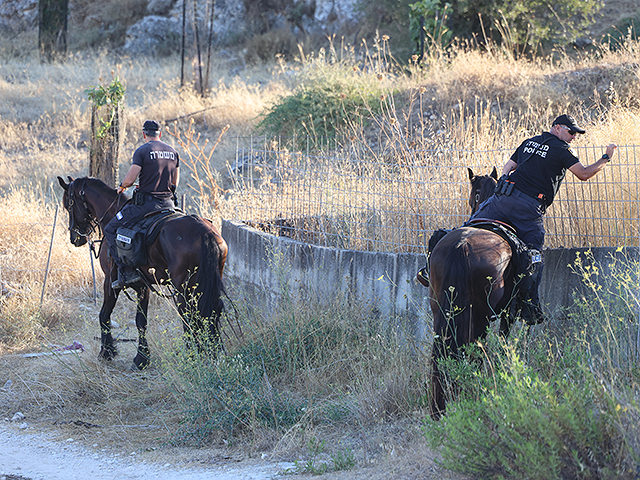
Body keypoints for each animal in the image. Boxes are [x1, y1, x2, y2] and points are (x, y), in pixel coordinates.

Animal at [57, 178, 228, 370]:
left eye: (68, 205)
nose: (75, 238)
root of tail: (205, 233)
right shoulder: (143, 285)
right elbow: (141, 321)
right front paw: (142, 358)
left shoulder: (110, 281)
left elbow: (104, 314)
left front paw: (106, 352)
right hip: (205, 285)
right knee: (212, 311)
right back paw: (213, 353)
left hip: (183, 289)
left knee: (189, 316)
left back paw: (192, 357)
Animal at [428, 167, 516, 418]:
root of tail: (462, 246)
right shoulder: (507, 312)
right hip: (481, 315)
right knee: (475, 348)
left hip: (440, 309)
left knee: (441, 352)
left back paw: (439, 407)